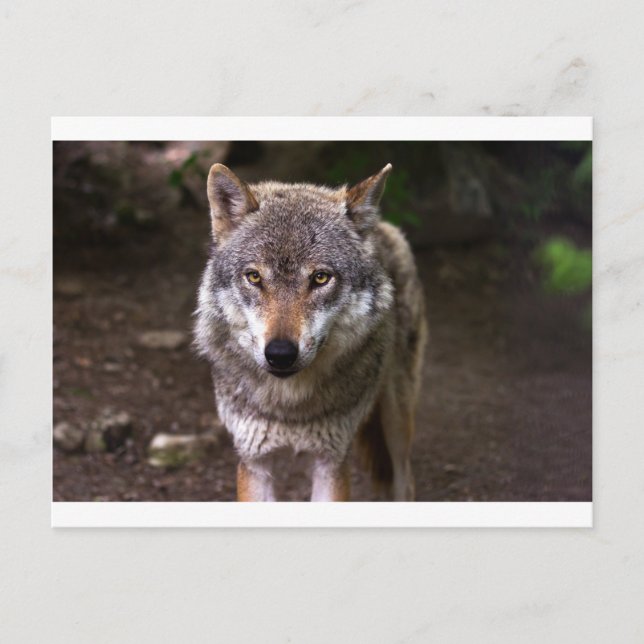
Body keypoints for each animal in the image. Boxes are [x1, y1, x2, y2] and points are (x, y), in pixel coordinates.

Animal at [194, 162, 427, 501]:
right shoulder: (254, 462)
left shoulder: (331, 462)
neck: (290, 407)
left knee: (405, 480)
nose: (280, 354)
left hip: (397, 419)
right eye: (254, 277)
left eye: (320, 278)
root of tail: (381, 226)